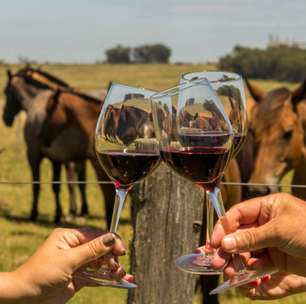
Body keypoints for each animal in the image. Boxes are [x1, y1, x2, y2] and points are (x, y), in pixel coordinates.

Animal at [1, 67, 98, 221]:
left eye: (5, 91)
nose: (5, 118)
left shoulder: (33, 153)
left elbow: (38, 184)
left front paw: (34, 213)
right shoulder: (57, 158)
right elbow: (58, 185)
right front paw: (60, 213)